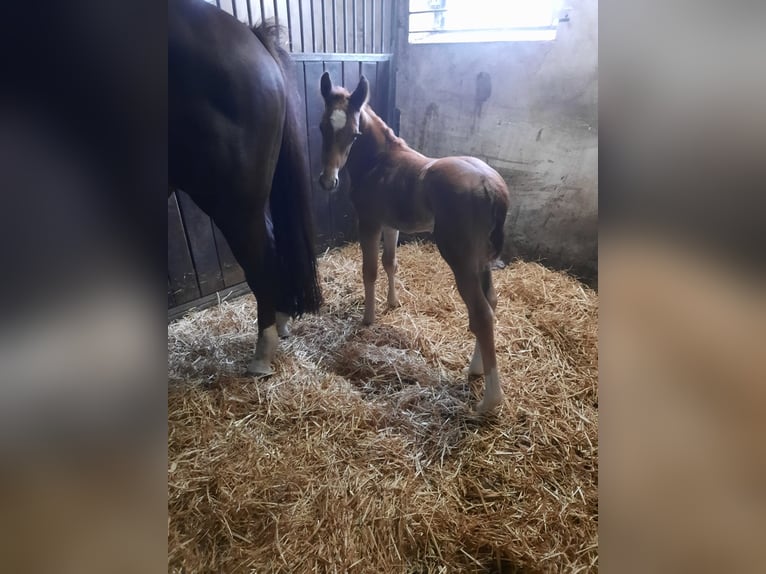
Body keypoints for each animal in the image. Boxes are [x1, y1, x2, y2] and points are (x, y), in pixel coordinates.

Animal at [316, 73, 510, 414]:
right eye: (322, 127)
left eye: (353, 134)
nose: (328, 181)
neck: (380, 161)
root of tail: (492, 187)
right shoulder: (391, 225)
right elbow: (390, 263)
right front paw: (393, 303)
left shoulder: (369, 222)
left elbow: (369, 270)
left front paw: (368, 319)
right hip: (481, 258)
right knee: (491, 302)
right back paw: (475, 368)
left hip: (460, 257)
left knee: (482, 314)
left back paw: (490, 400)